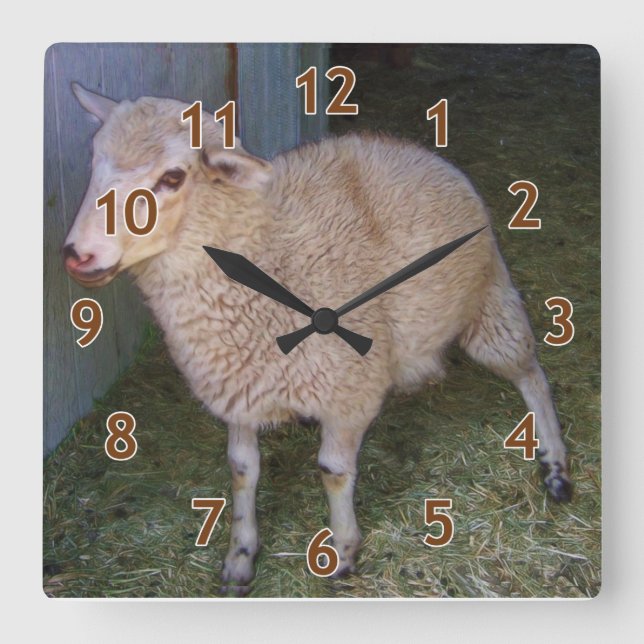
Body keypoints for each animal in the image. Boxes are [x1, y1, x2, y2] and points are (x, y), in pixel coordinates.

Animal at [63, 83, 571, 593]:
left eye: (172, 177)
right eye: (93, 160)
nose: (76, 254)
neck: (271, 263)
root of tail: (412, 148)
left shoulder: (349, 392)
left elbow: (333, 471)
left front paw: (342, 550)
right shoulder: (238, 386)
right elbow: (241, 469)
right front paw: (240, 556)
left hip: (489, 299)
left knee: (532, 374)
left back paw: (555, 464)